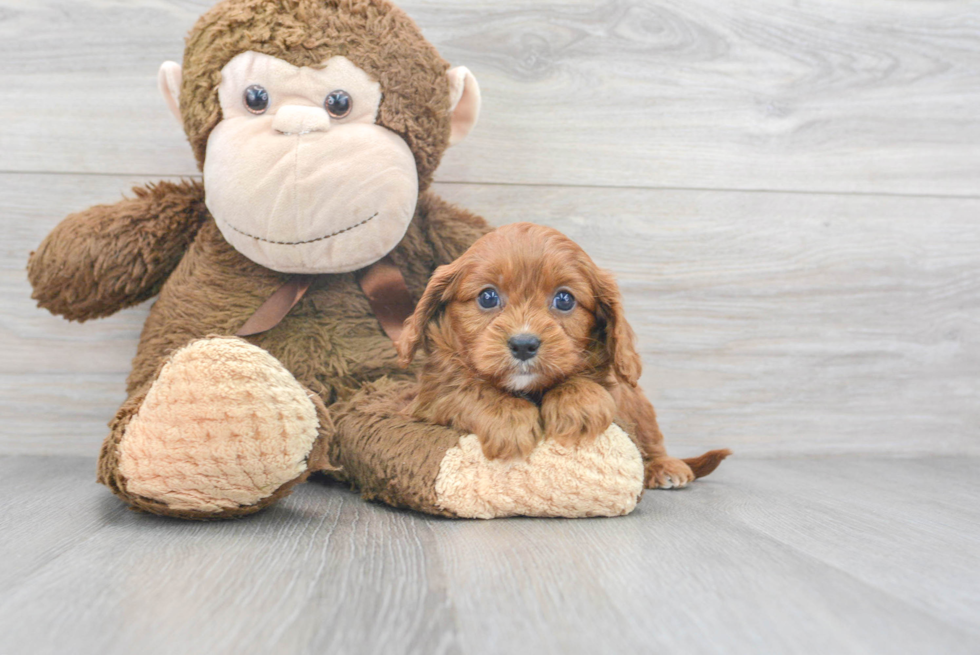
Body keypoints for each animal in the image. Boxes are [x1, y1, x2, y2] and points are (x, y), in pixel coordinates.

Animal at [396, 223, 728, 490]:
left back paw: (665, 466)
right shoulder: (431, 396)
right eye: (487, 297)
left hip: (639, 404)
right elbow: (469, 388)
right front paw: (509, 420)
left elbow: (588, 383)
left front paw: (577, 407)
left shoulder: (615, 389)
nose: (524, 345)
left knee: (651, 440)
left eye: (564, 299)